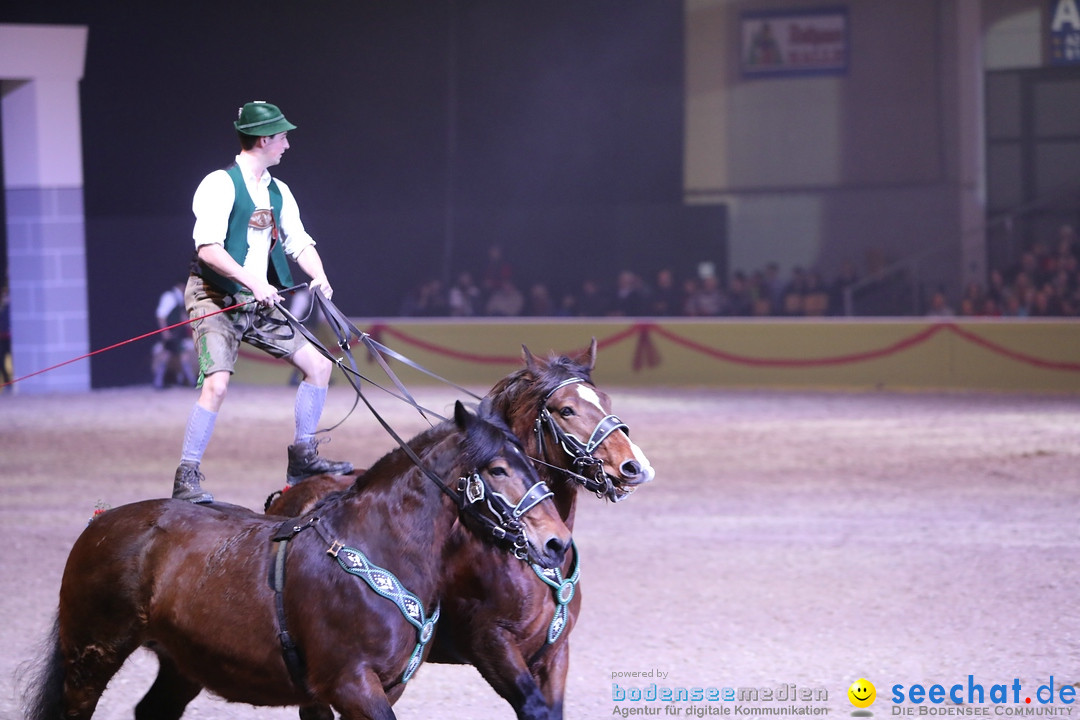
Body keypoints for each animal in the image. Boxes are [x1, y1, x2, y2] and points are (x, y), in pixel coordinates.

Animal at [25, 403, 570, 720]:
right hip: (90, 658)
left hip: (180, 664)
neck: (374, 550)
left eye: (529, 461)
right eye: (497, 469)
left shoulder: (371, 690)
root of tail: (100, 523)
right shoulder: (351, 686)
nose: (556, 544)